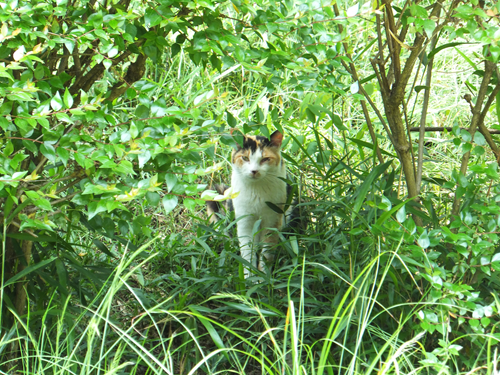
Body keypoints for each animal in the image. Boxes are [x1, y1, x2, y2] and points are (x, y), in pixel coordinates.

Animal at [208, 131, 290, 278]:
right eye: (245, 158)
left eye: (265, 159)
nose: (254, 171)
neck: (257, 191)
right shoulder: (244, 220)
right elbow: (247, 251)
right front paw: (249, 278)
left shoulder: (273, 219)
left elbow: (267, 251)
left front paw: (264, 277)